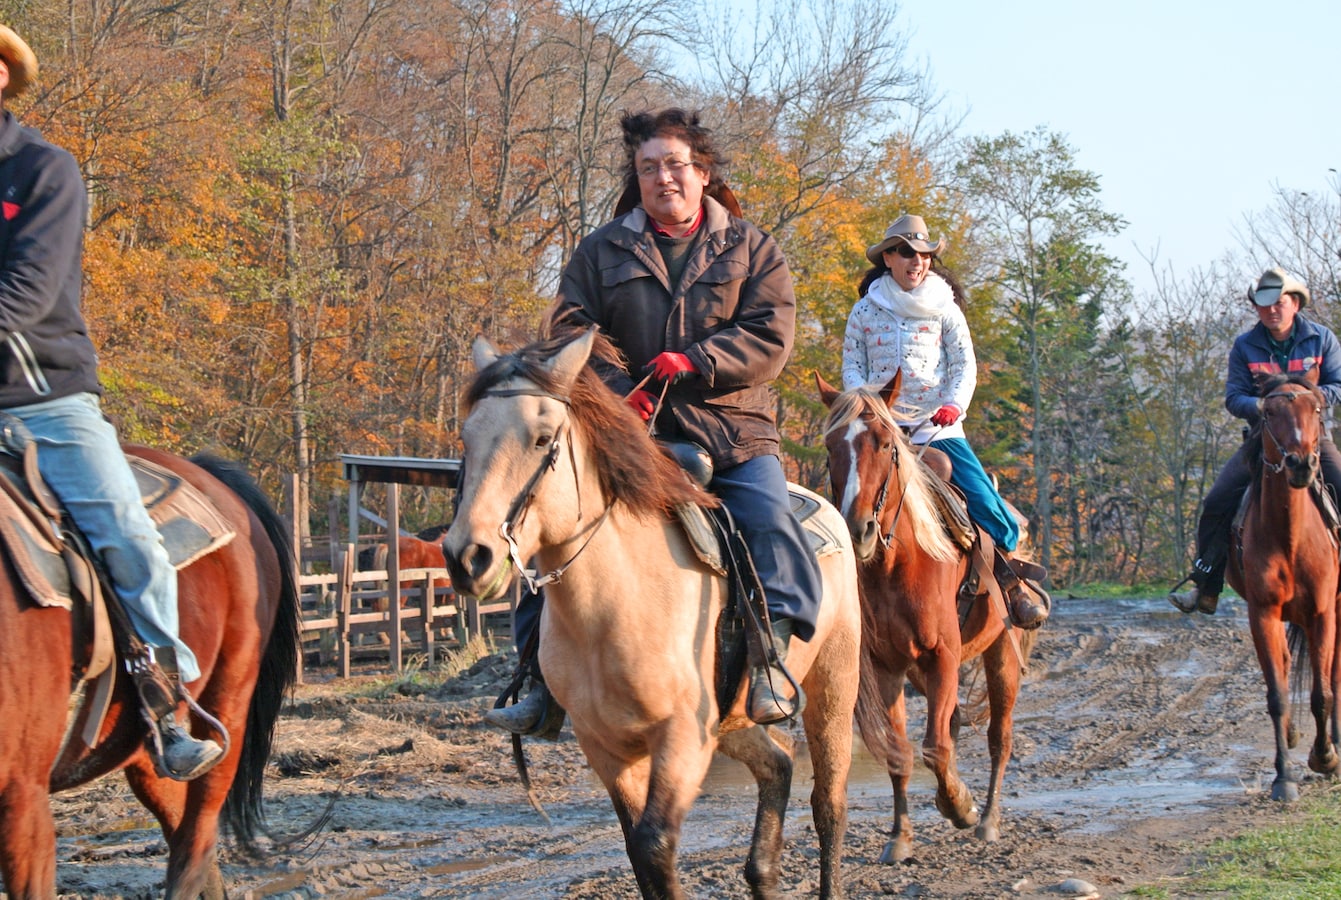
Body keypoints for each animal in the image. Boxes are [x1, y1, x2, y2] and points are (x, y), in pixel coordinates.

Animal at [439, 332, 858, 900]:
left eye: (543, 439)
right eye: (467, 437)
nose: (468, 558)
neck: (614, 607)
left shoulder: (682, 739)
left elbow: (655, 847)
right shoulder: (607, 748)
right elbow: (639, 854)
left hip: (835, 688)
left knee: (828, 807)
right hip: (731, 719)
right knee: (778, 763)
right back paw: (763, 873)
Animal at [809, 372, 1029, 863]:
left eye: (885, 443)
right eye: (831, 445)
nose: (859, 530)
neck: (901, 565)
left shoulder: (942, 656)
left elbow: (936, 746)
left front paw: (960, 806)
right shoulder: (888, 667)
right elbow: (902, 751)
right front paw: (900, 836)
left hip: (1000, 653)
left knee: (999, 737)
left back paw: (988, 819)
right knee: (954, 722)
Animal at [1228, 370, 1341, 804]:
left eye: (1316, 409)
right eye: (1270, 412)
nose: (1300, 464)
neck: (1291, 535)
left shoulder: (1323, 613)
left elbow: (1323, 693)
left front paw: (1324, 757)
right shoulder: (1263, 613)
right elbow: (1276, 694)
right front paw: (1284, 778)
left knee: (1334, 674)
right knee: (1290, 665)